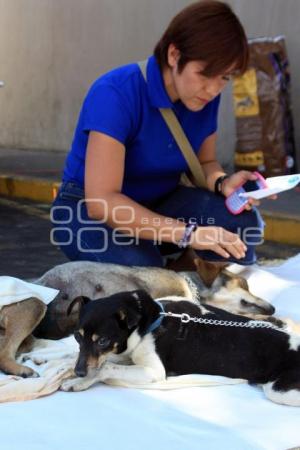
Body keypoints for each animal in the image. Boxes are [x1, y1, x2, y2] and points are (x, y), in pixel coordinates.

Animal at [61, 290, 300, 406]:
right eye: (77, 336)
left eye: (102, 341)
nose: (79, 371)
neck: (152, 320)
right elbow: (100, 362)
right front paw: (75, 375)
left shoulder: (153, 371)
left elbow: (105, 367)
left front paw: (80, 380)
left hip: (279, 390)